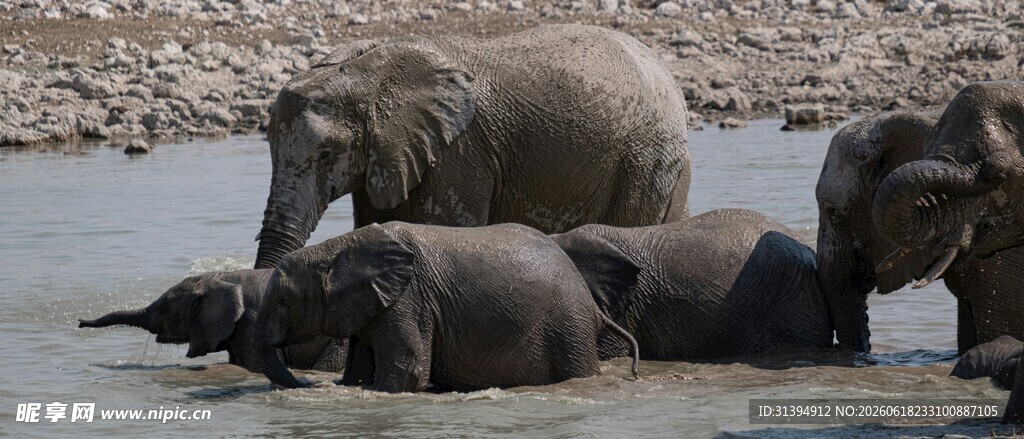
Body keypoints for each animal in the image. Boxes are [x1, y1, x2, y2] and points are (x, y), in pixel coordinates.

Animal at [255, 222, 640, 392]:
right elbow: (359, 369)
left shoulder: (409, 299)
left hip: (569, 327)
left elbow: (408, 370)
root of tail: (592, 305)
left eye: (285, 301)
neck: (338, 246)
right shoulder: (373, 306)